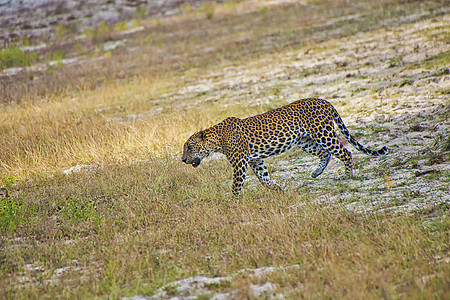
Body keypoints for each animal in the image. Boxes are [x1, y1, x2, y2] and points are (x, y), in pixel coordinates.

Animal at [181, 97, 388, 198]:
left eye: (189, 147)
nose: (183, 159)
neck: (217, 140)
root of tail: (324, 101)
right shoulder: (256, 160)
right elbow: (264, 179)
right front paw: (278, 190)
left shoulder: (240, 162)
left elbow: (236, 184)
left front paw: (232, 201)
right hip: (305, 141)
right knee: (325, 154)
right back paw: (316, 173)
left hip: (323, 133)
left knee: (345, 152)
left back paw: (347, 176)